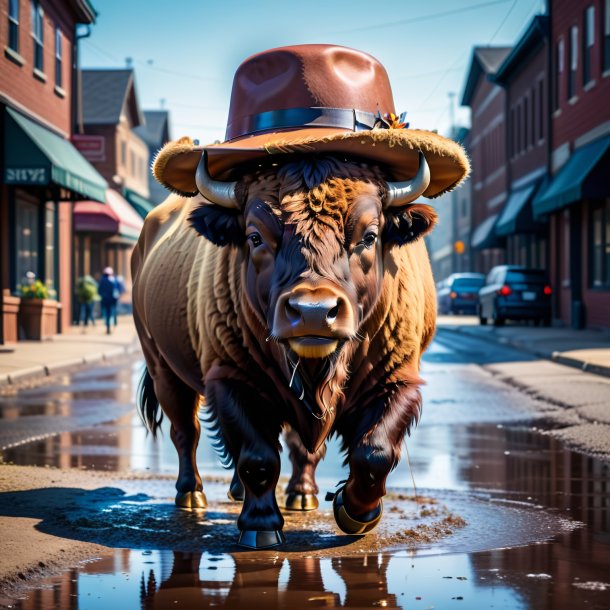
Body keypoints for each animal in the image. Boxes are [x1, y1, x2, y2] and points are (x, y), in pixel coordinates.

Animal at [132, 42, 466, 548]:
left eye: (370, 235)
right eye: (255, 236)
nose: (312, 312)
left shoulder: (398, 377)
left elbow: (373, 452)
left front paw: (354, 511)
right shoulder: (228, 378)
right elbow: (256, 455)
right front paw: (260, 527)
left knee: (295, 445)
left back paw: (301, 495)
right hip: (163, 366)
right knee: (184, 431)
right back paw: (192, 496)